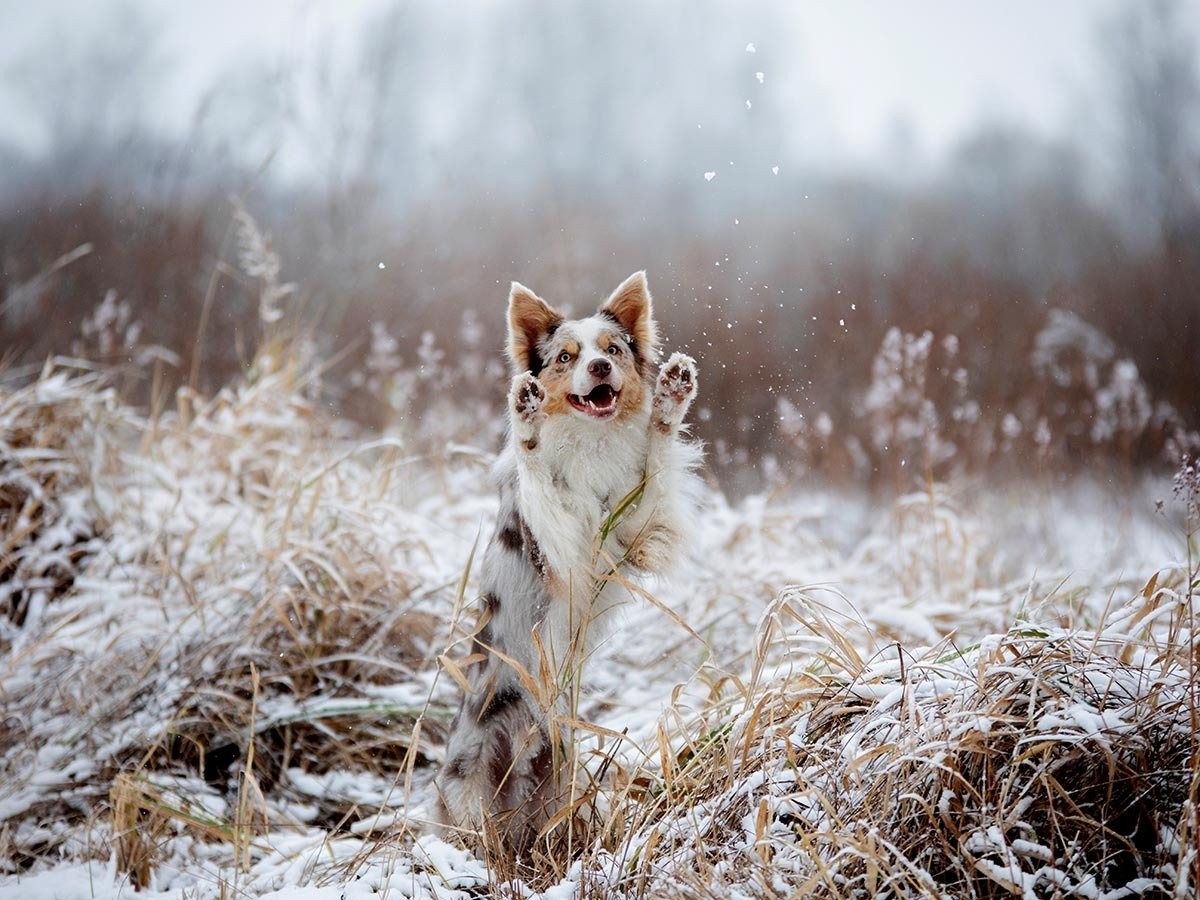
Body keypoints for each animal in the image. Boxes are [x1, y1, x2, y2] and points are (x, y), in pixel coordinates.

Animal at [434, 271, 700, 849]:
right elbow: (538, 473)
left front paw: (670, 401)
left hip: (567, 779)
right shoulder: (556, 542)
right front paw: (527, 419)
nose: (598, 368)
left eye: (613, 350)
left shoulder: (634, 530)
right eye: (565, 357)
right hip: (469, 786)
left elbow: (657, 465)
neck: (591, 442)